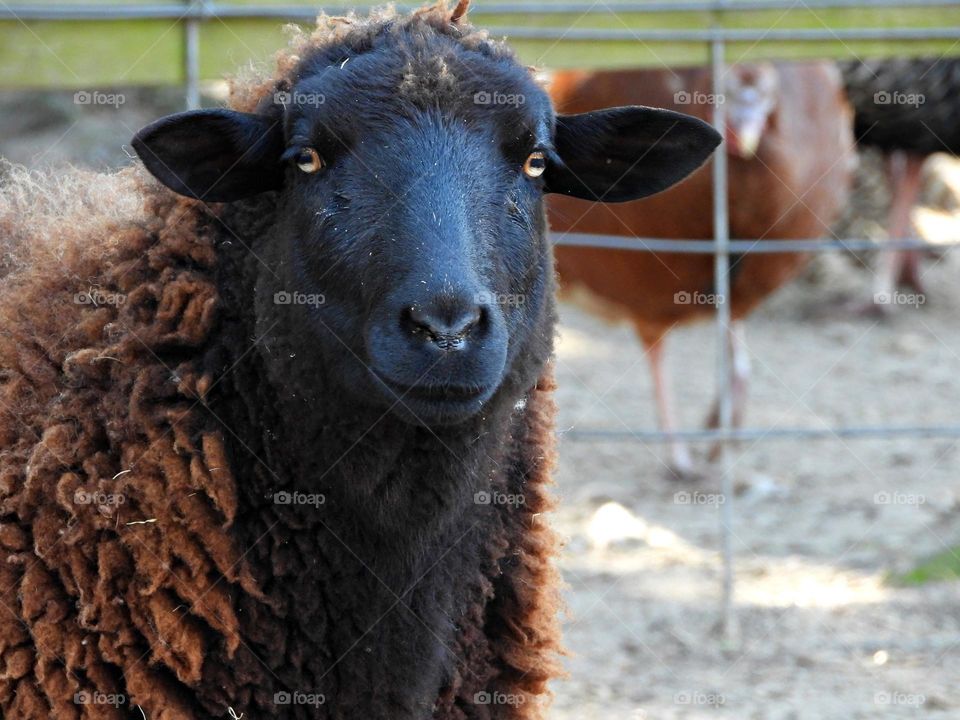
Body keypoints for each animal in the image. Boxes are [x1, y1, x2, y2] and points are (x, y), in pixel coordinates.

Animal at [548, 62, 856, 478]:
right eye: (727, 93)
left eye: (766, 94)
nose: (746, 126)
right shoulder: (644, 286)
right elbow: (661, 356)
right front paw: (687, 447)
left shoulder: (745, 284)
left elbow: (737, 356)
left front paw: (724, 421)